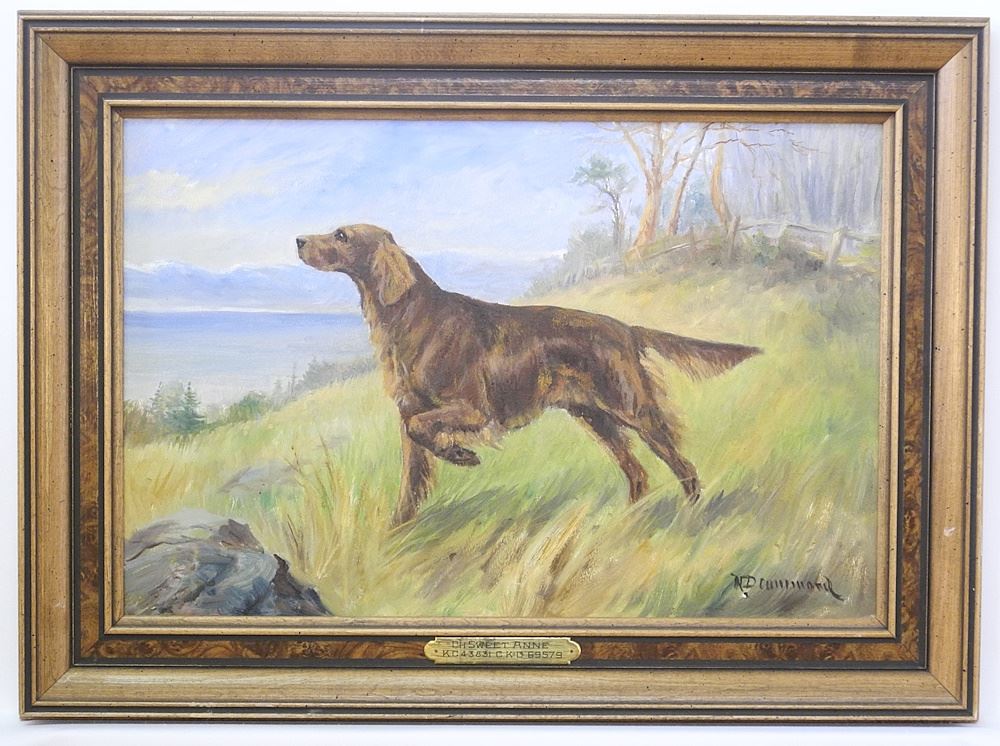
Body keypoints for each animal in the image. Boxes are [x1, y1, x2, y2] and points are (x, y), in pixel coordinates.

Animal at [296, 224, 760, 526]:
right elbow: (412, 470)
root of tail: (626, 328)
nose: (298, 240)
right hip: (596, 418)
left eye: (341, 235)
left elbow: (424, 429)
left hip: (633, 408)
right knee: (638, 474)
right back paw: (622, 522)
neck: (415, 317)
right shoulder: (409, 412)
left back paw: (691, 513)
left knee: (681, 463)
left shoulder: (473, 409)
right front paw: (398, 529)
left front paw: (461, 454)